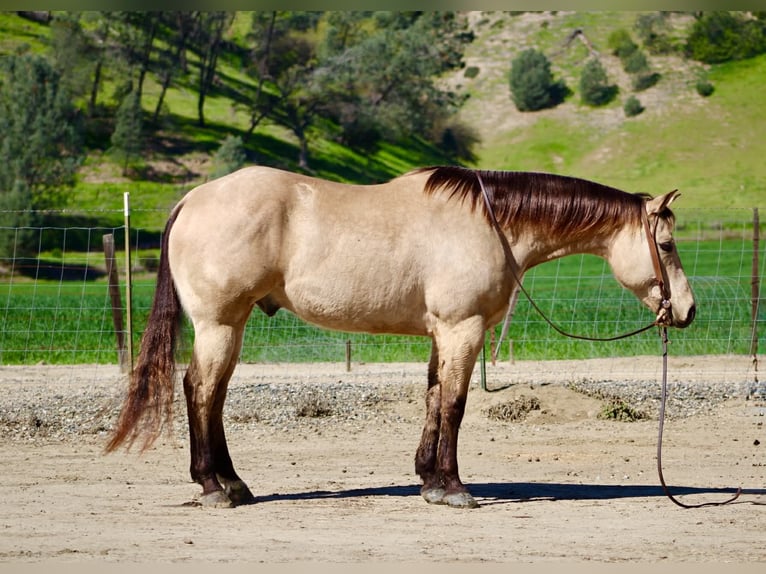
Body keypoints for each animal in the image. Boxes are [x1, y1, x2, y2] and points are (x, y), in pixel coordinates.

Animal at [106, 165, 696, 509]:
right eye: (666, 245)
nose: (688, 311)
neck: (490, 223)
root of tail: (192, 200)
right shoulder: (463, 329)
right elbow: (455, 404)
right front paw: (454, 488)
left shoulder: (444, 333)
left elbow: (434, 398)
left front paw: (429, 480)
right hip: (221, 325)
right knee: (201, 391)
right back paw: (212, 487)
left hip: (232, 325)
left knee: (214, 396)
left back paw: (232, 483)